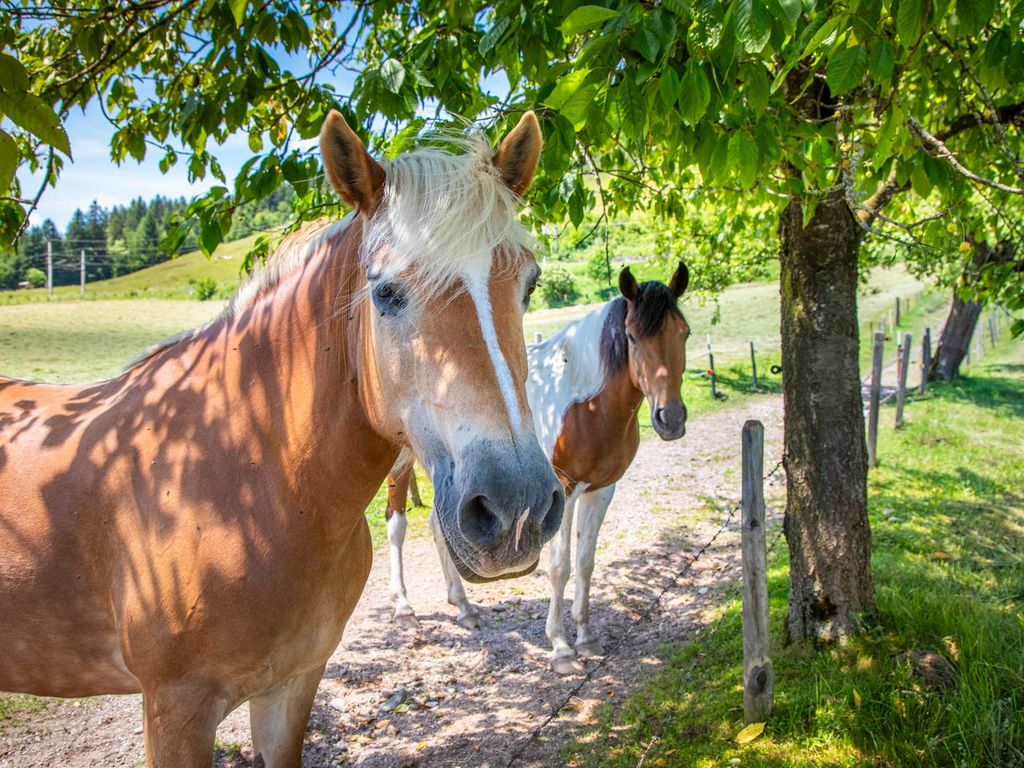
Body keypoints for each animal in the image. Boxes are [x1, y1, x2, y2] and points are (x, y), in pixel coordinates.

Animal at [0, 110, 565, 766]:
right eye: (385, 292)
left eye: (529, 286)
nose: (517, 508)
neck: (240, 485)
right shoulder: (174, 710)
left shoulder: (291, 686)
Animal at [384, 264, 691, 673]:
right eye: (632, 337)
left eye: (684, 333)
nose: (670, 419)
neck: (585, 403)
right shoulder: (563, 492)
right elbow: (560, 566)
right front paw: (561, 647)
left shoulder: (601, 490)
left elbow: (586, 562)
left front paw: (586, 636)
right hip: (401, 467)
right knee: (396, 526)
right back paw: (404, 609)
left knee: (437, 525)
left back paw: (463, 606)